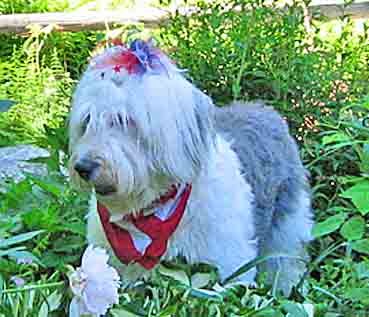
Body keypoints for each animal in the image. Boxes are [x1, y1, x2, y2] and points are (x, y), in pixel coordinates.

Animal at [67, 39, 312, 294]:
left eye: (125, 120)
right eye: (87, 120)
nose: (84, 167)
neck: (151, 212)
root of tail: (265, 109)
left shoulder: (228, 265)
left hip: (287, 225)